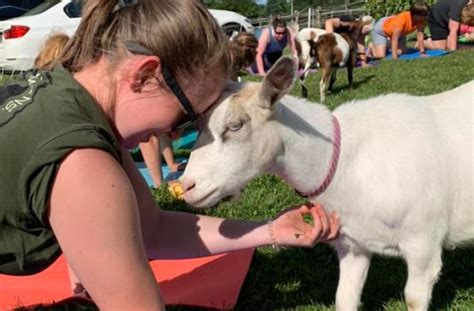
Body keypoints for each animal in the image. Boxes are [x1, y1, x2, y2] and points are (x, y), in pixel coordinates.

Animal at [182, 57, 474, 310]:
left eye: (235, 126)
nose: (186, 186)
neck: (345, 163)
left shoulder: (423, 242)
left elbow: (413, 298)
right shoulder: (352, 245)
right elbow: (344, 299)